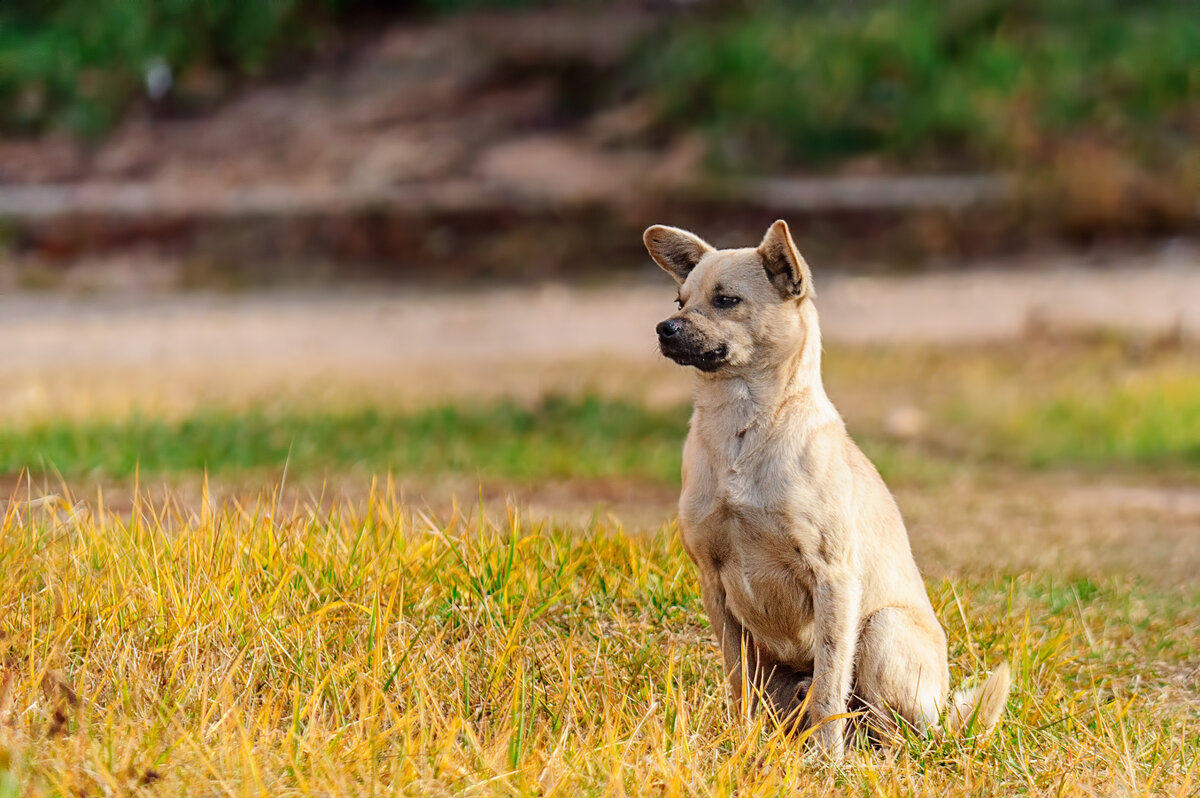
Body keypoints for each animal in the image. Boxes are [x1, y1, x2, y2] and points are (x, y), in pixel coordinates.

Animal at [643, 220, 1008, 758]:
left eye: (726, 300)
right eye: (679, 300)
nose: (664, 328)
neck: (742, 431)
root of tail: (946, 716)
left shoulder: (833, 580)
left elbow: (830, 684)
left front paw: (826, 761)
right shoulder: (714, 586)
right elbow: (737, 681)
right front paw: (739, 743)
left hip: (882, 630)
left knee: (891, 729)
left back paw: (860, 754)